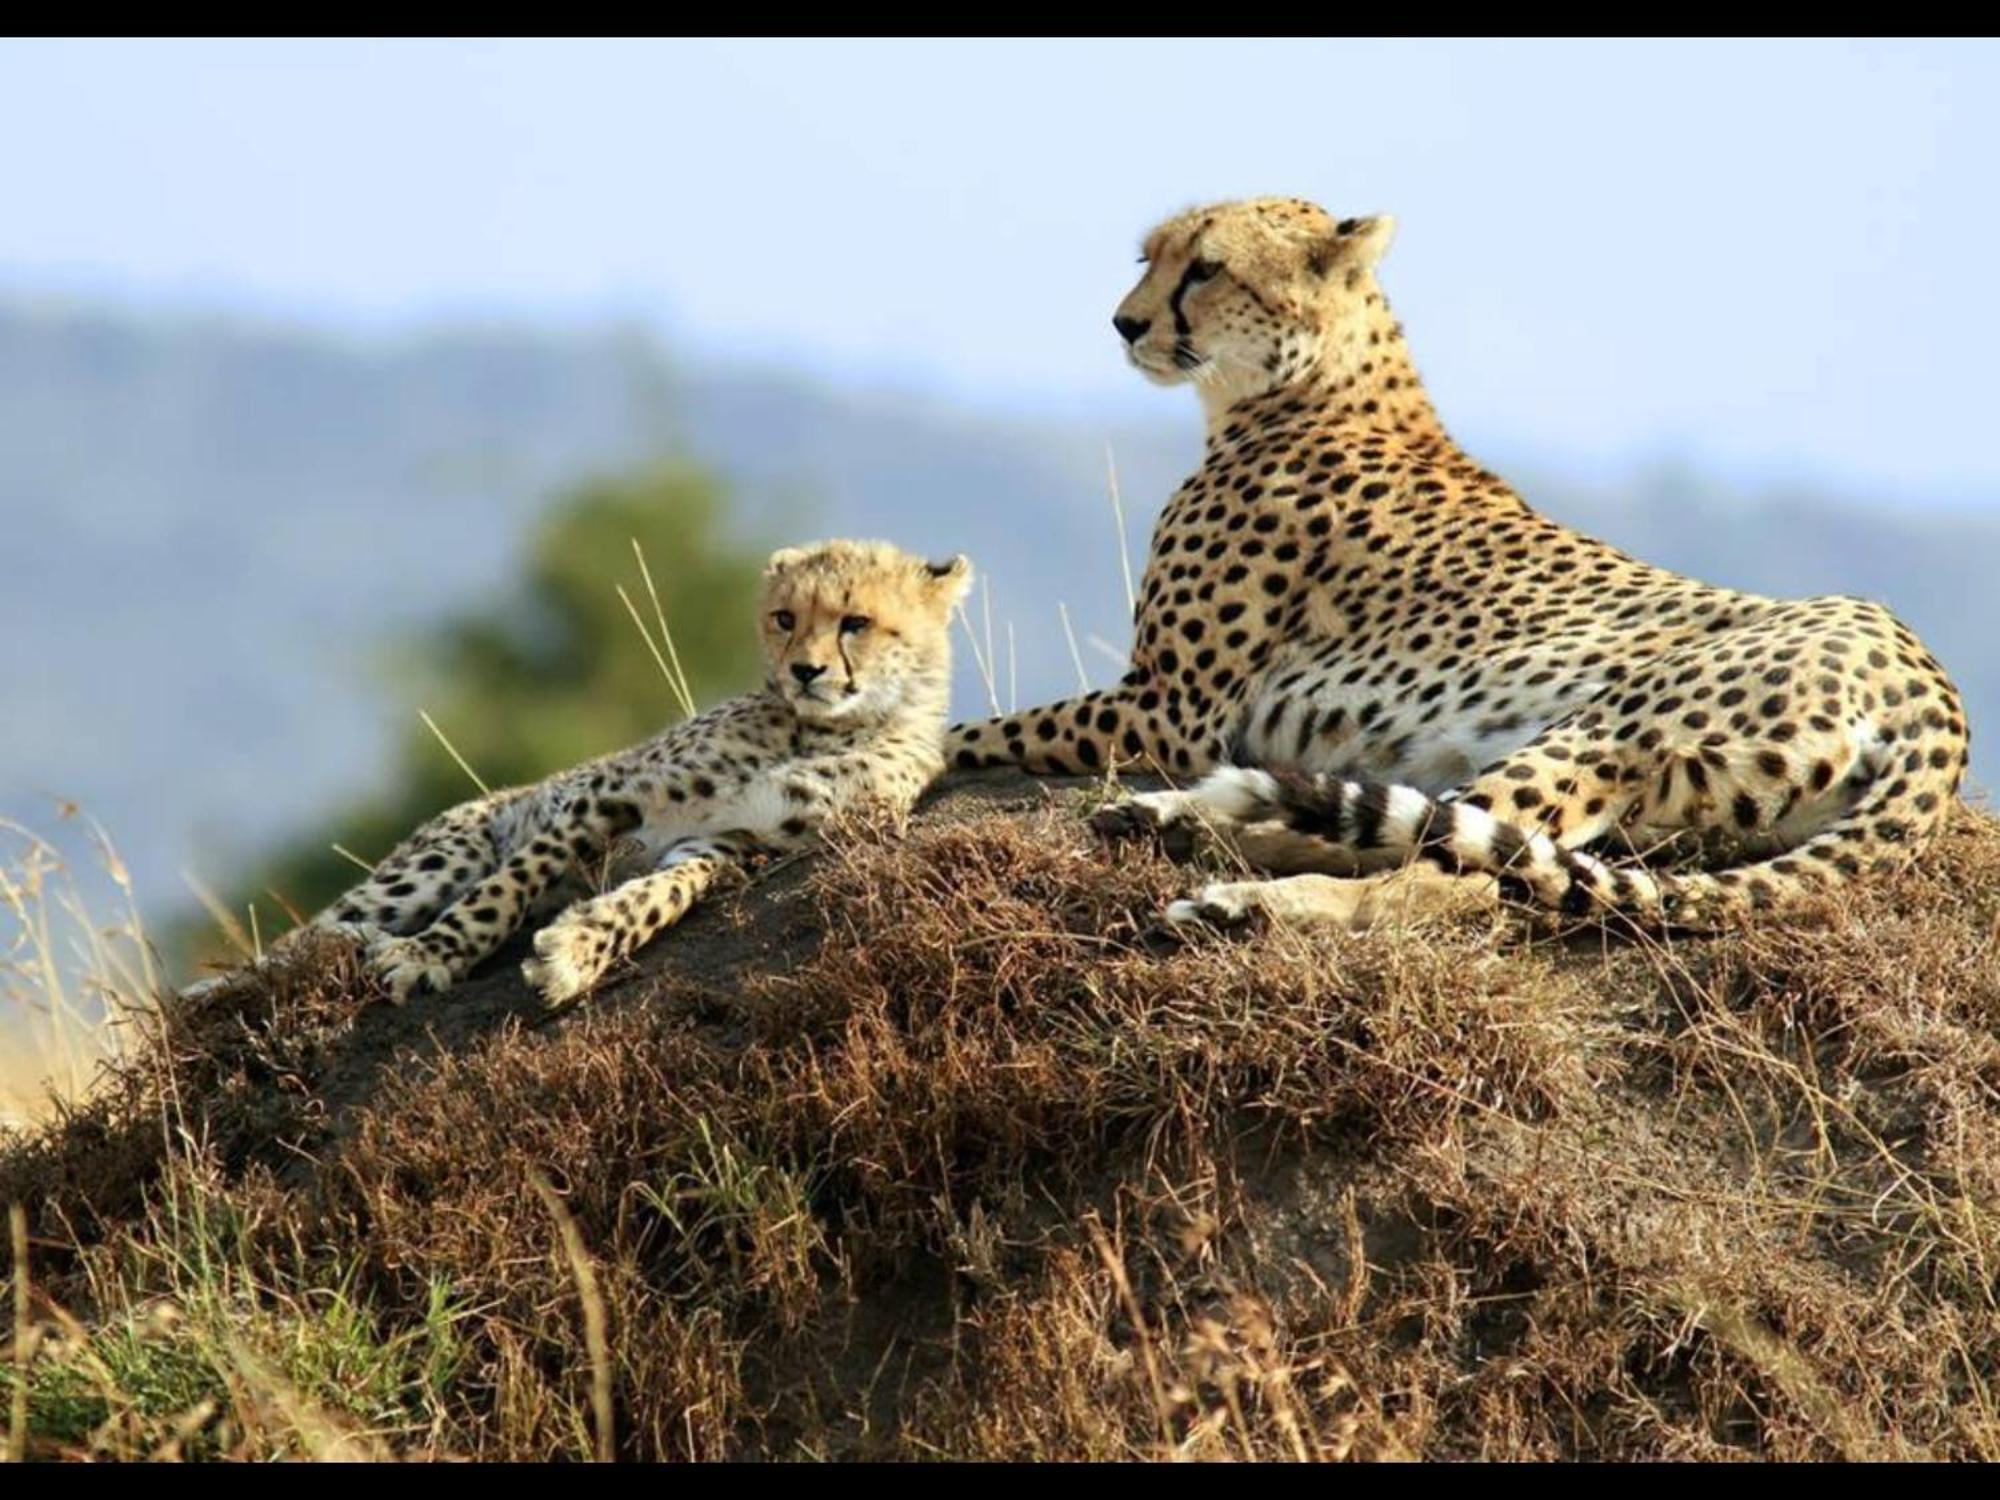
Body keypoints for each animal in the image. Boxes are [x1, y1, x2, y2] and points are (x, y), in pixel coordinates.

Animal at [952, 200, 1968, 928]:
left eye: (1206, 267)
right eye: (1149, 258)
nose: (1124, 324)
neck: (1313, 384)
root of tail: (1927, 678)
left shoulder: (1169, 707)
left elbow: (975, 730)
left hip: (1603, 732)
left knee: (1456, 874)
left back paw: (1239, 892)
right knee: (1445, 842)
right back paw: (1193, 825)